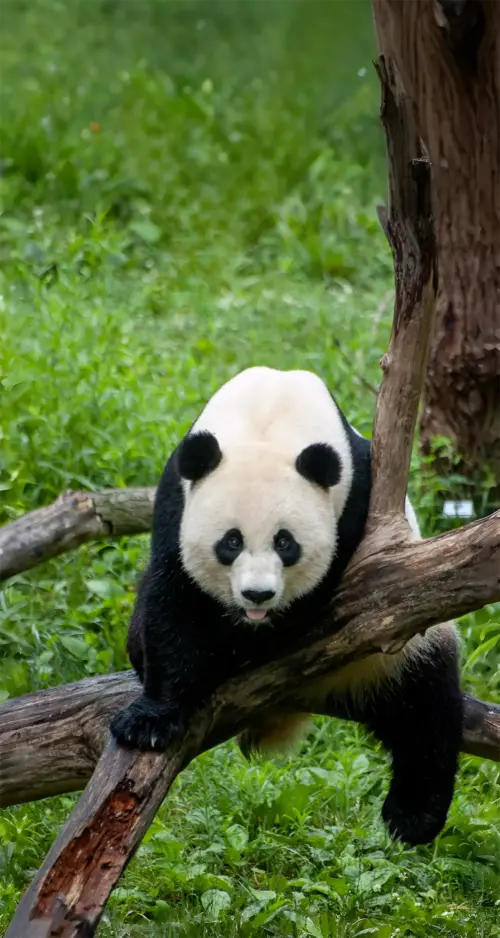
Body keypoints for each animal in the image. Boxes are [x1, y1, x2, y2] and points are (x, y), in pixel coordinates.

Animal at [111, 366, 463, 846]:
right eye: (231, 542)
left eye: (285, 543)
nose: (257, 595)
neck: (272, 408)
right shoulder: (175, 498)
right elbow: (174, 597)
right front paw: (148, 722)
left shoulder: (354, 504)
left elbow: (311, 605)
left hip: (400, 651)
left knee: (425, 713)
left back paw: (412, 816)